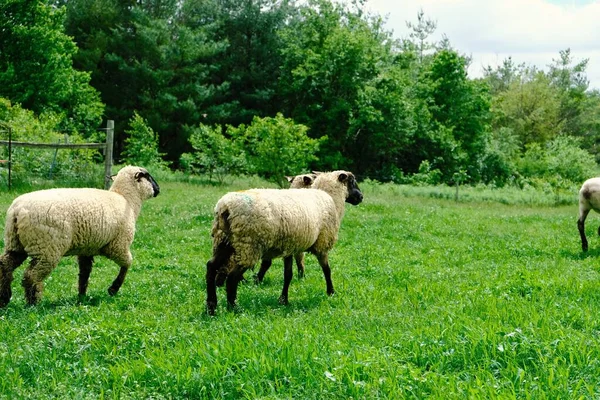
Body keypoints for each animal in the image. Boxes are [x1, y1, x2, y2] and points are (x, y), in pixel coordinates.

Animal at [0, 165, 161, 306]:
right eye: (148, 176)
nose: (159, 189)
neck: (127, 200)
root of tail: (17, 210)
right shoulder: (118, 245)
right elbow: (127, 264)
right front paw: (113, 289)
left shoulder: (87, 249)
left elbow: (84, 274)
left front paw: (82, 297)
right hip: (46, 248)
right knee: (31, 276)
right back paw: (32, 303)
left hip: (15, 242)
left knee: (5, 266)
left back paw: (5, 298)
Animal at [206, 170, 360, 314]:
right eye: (352, 182)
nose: (361, 197)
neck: (331, 197)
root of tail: (225, 207)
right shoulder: (322, 243)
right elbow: (327, 270)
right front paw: (331, 292)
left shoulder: (290, 247)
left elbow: (288, 275)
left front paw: (283, 300)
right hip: (249, 245)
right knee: (232, 277)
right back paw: (233, 308)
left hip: (224, 242)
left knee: (211, 267)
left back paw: (211, 307)